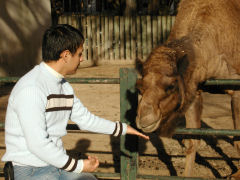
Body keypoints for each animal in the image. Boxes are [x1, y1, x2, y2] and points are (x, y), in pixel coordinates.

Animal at [136, 0, 240, 177]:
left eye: (171, 86)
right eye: (139, 87)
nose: (144, 119)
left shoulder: (237, 89)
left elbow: (237, 139)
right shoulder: (194, 90)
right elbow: (193, 142)